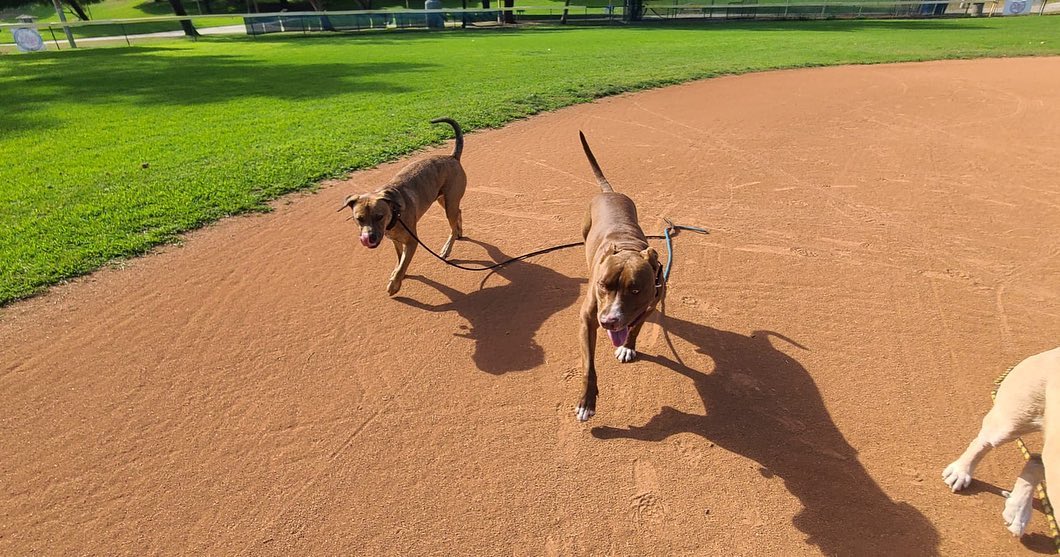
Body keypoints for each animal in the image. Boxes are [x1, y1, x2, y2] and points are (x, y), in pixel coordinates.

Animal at [339, 117, 464, 294]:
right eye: (359, 219)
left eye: (380, 216)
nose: (370, 237)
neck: (394, 214)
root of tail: (452, 157)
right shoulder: (395, 240)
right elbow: (400, 260)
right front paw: (398, 274)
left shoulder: (412, 242)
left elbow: (403, 263)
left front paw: (394, 284)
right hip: (443, 200)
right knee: (459, 212)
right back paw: (460, 231)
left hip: (450, 203)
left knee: (452, 225)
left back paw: (447, 247)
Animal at [572, 131, 661, 422]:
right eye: (602, 285)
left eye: (635, 290)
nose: (609, 321)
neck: (628, 247)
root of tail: (610, 193)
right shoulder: (588, 318)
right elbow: (588, 366)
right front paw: (587, 402)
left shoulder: (651, 303)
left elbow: (637, 326)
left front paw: (628, 346)